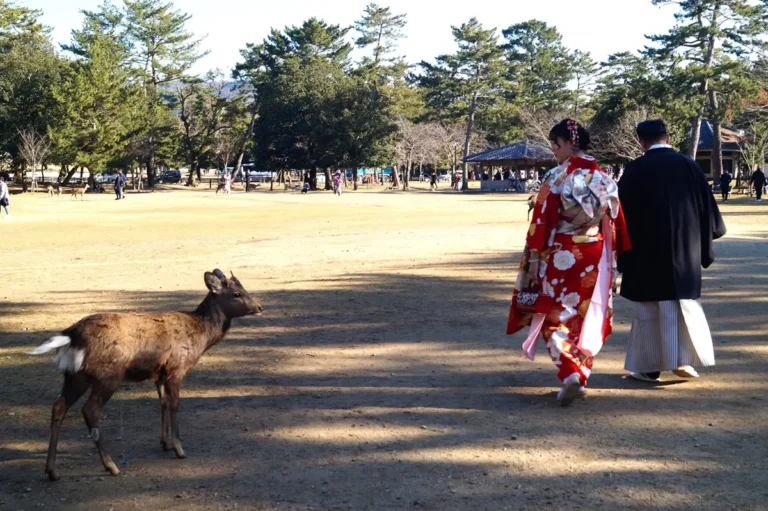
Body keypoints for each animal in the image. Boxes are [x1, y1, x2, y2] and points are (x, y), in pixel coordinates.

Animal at [29, 270, 264, 482]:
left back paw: (52, 471)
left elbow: (163, 403)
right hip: (108, 375)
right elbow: (175, 404)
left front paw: (165, 443)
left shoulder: (159, 373)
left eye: (243, 288)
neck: (200, 336)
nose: (259, 307)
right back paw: (111, 466)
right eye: (236, 293)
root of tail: (71, 336)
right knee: (90, 410)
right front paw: (179, 449)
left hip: (74, 375)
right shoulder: (176, 368)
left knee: (59, 407)